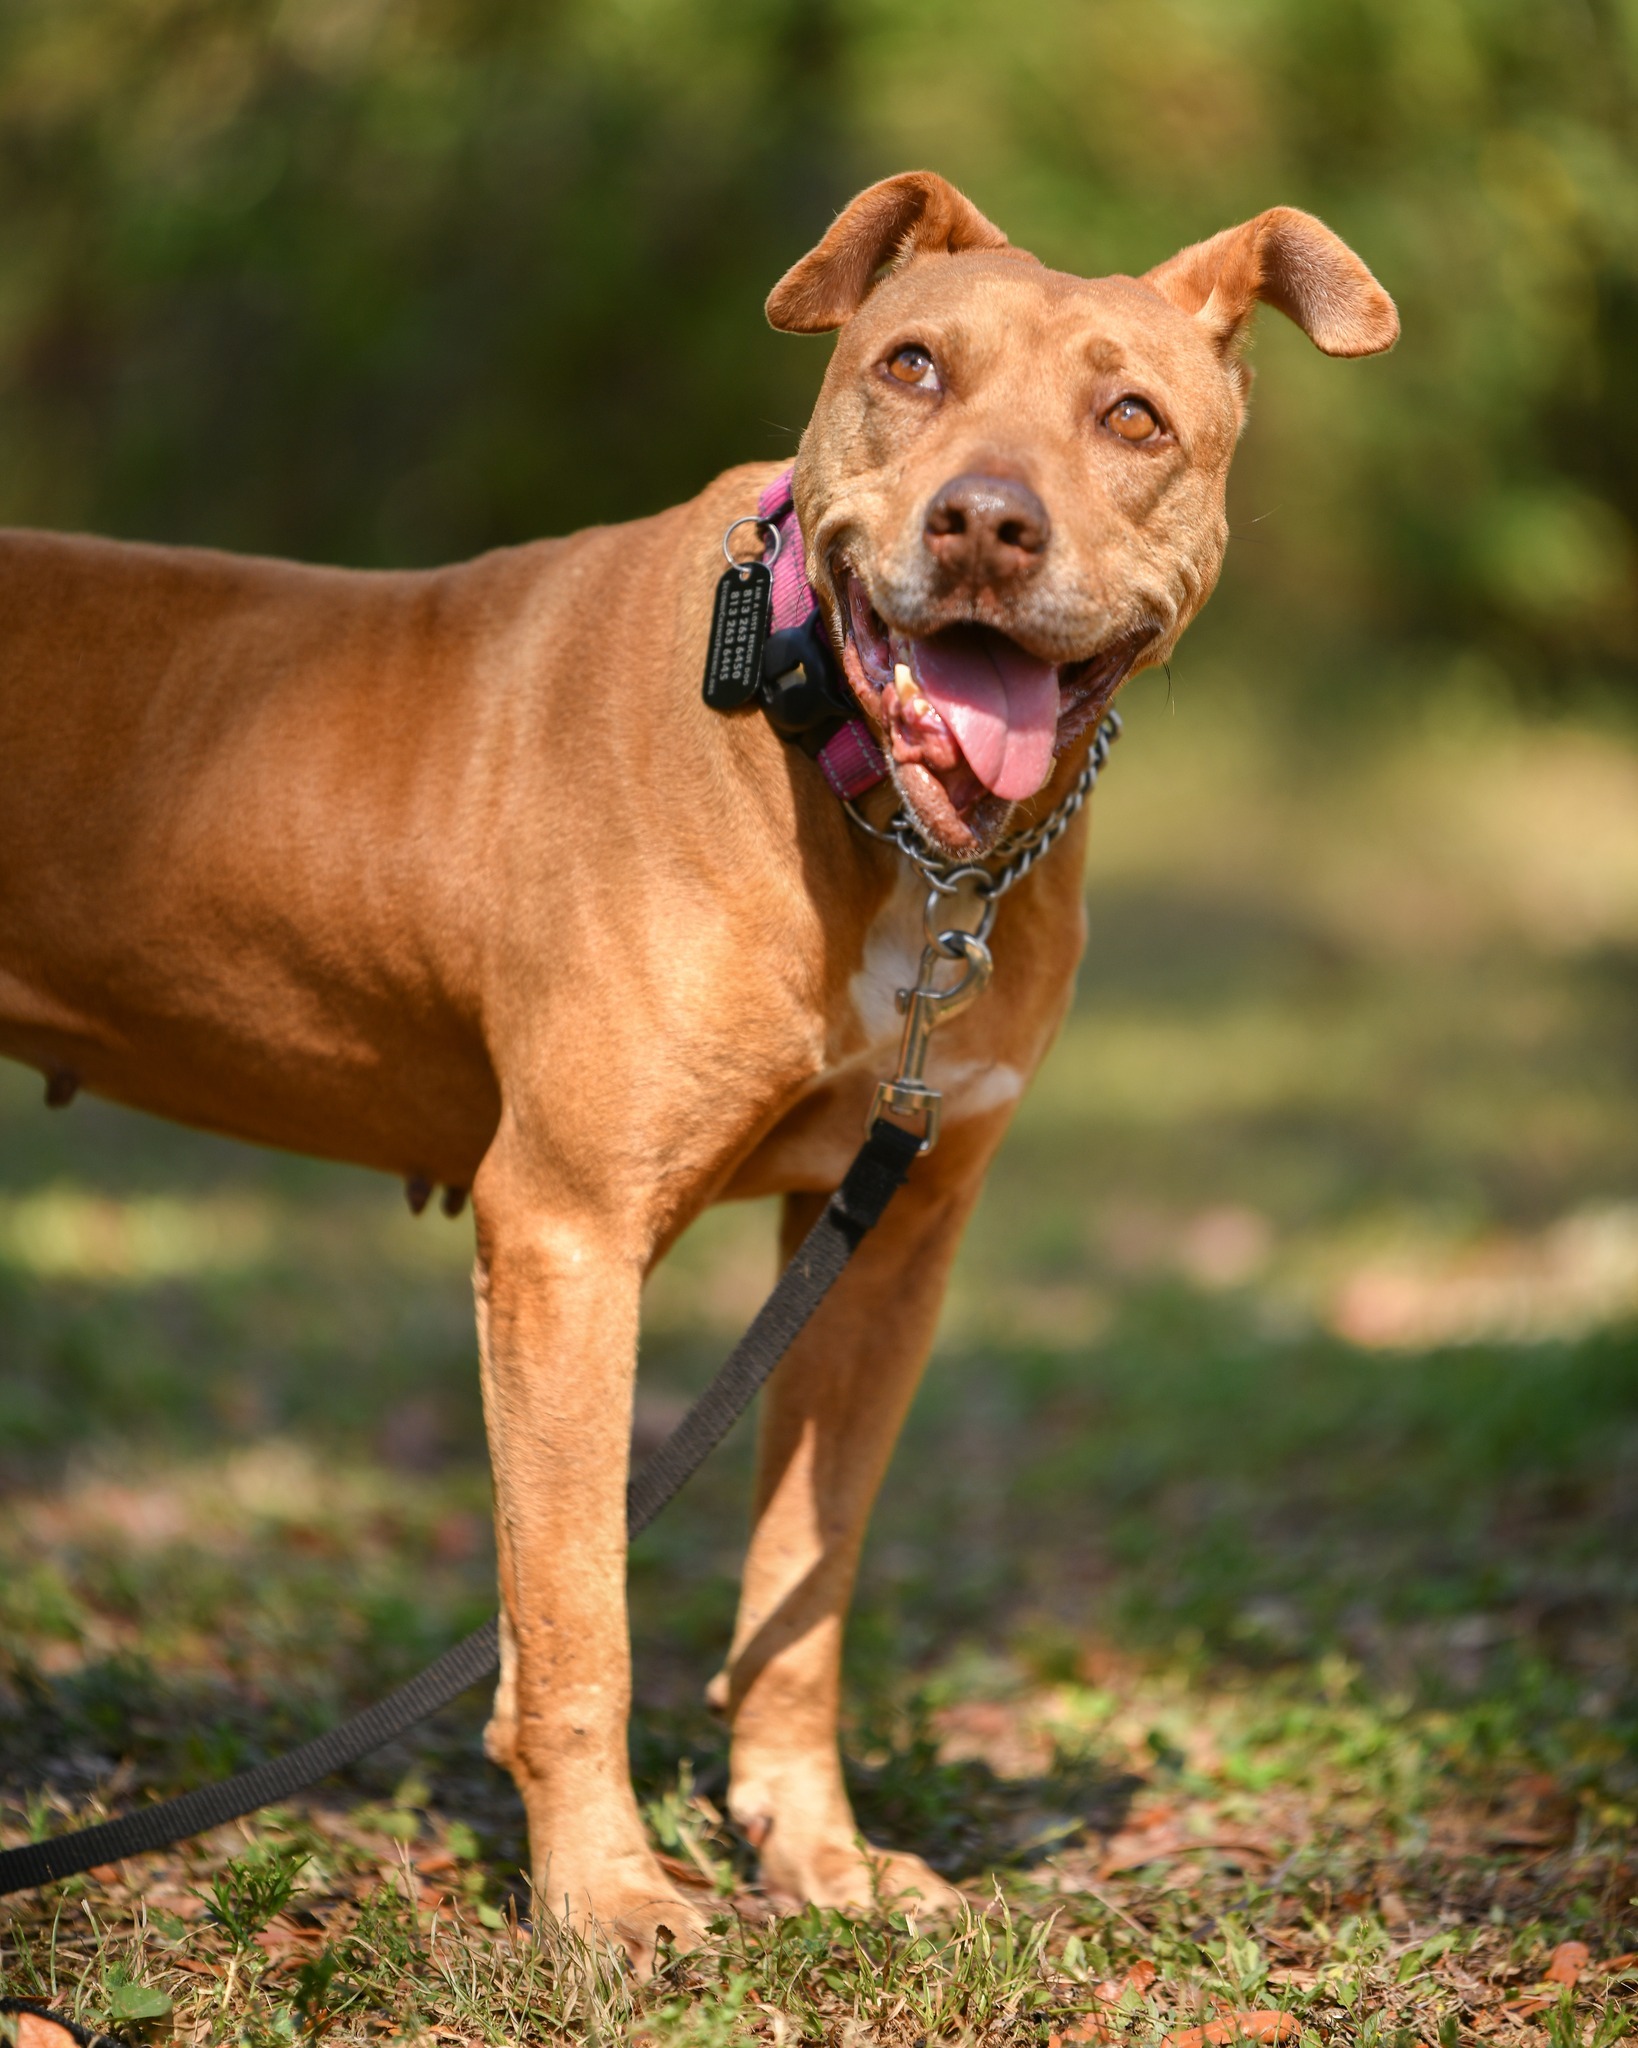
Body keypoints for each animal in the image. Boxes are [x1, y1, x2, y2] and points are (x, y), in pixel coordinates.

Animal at [0, 172, 1392, 1949]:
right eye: (912, 367)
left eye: (1131, 416)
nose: (984, 525)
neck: (844, 772)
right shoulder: (567, 1233)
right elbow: (576, 1607)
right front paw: (602, 1896)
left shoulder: (880, 1250)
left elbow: (799, 1590)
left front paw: (817, 1858)